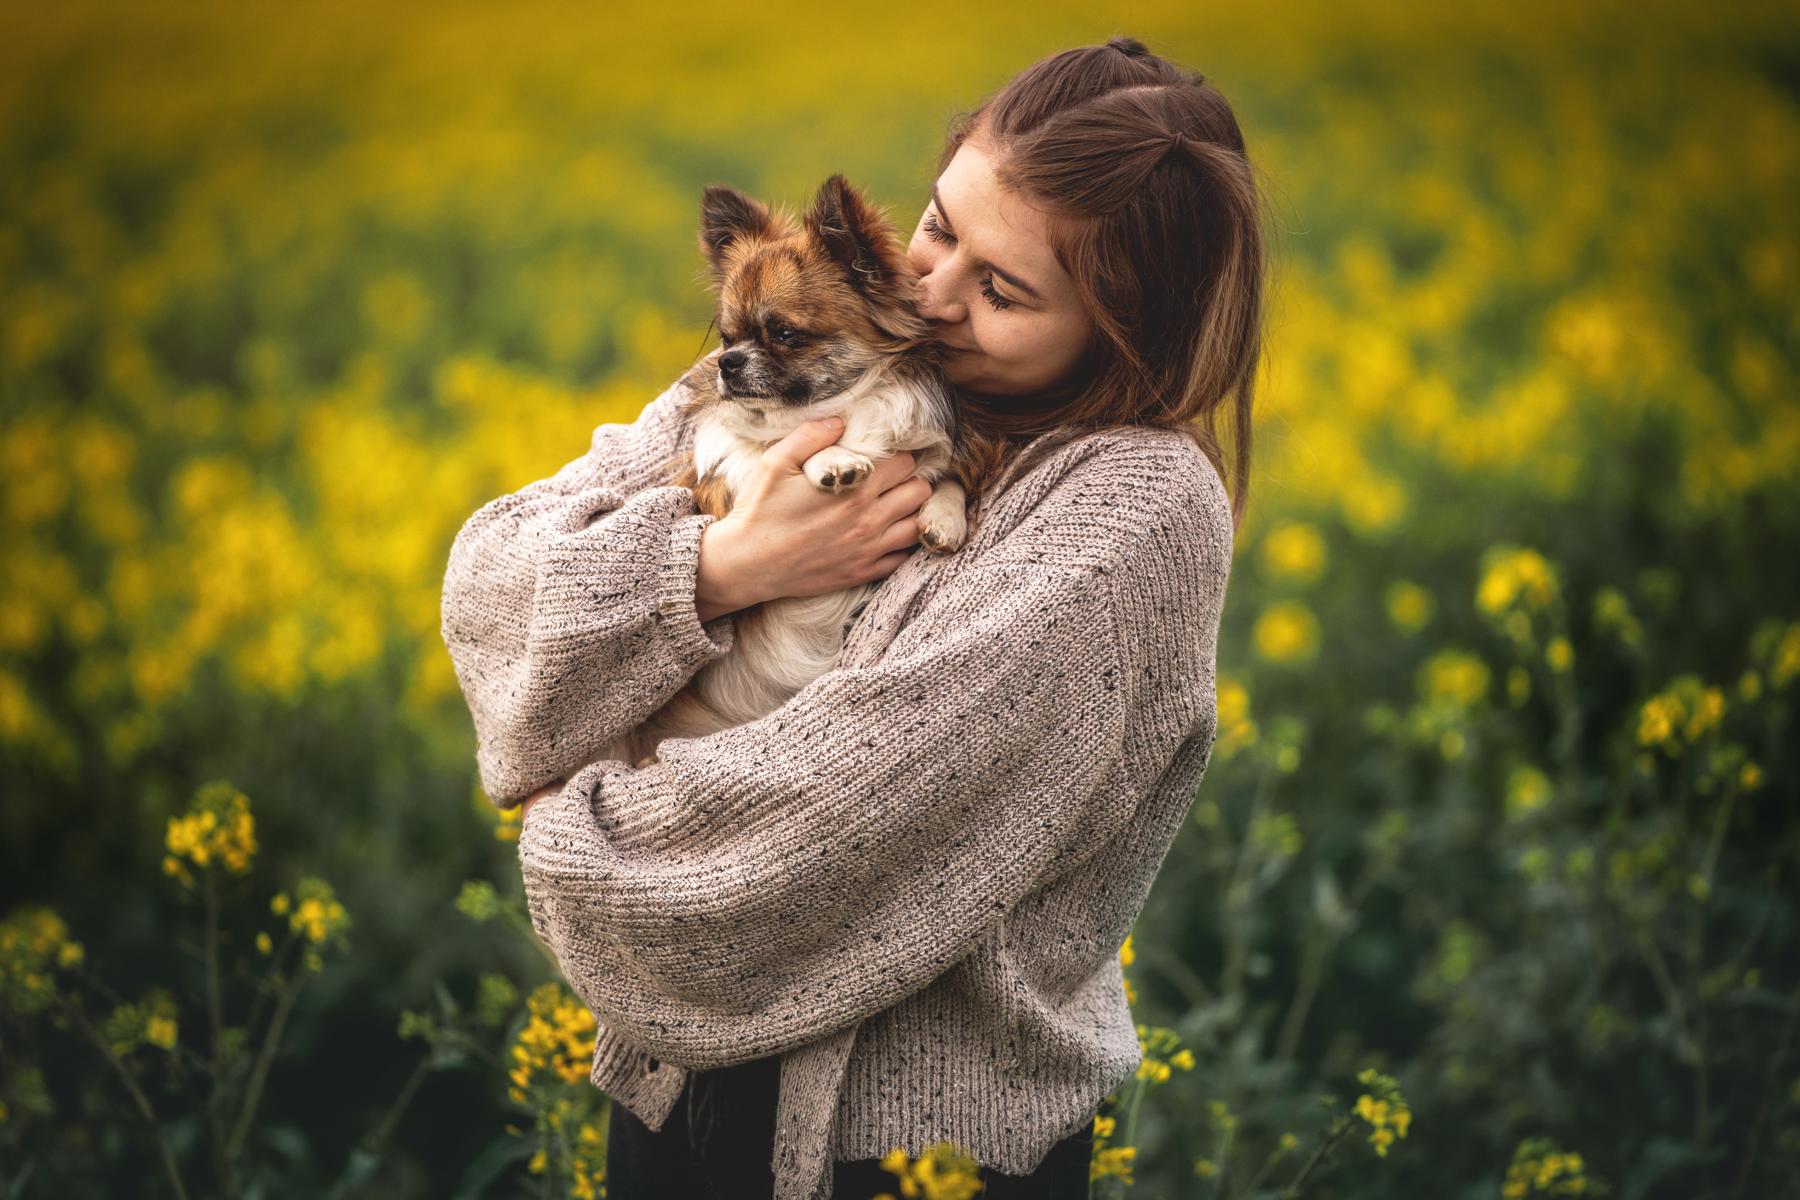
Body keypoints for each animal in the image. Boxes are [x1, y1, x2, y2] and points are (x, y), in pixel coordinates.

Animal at [604, 172, 979, 766]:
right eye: (728, 339)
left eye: (784, 334)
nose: (728, 364)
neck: (840, 409)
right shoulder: (728, 486)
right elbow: (773, 446)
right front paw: (834, 458)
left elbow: (943, 474)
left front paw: (944, 518)